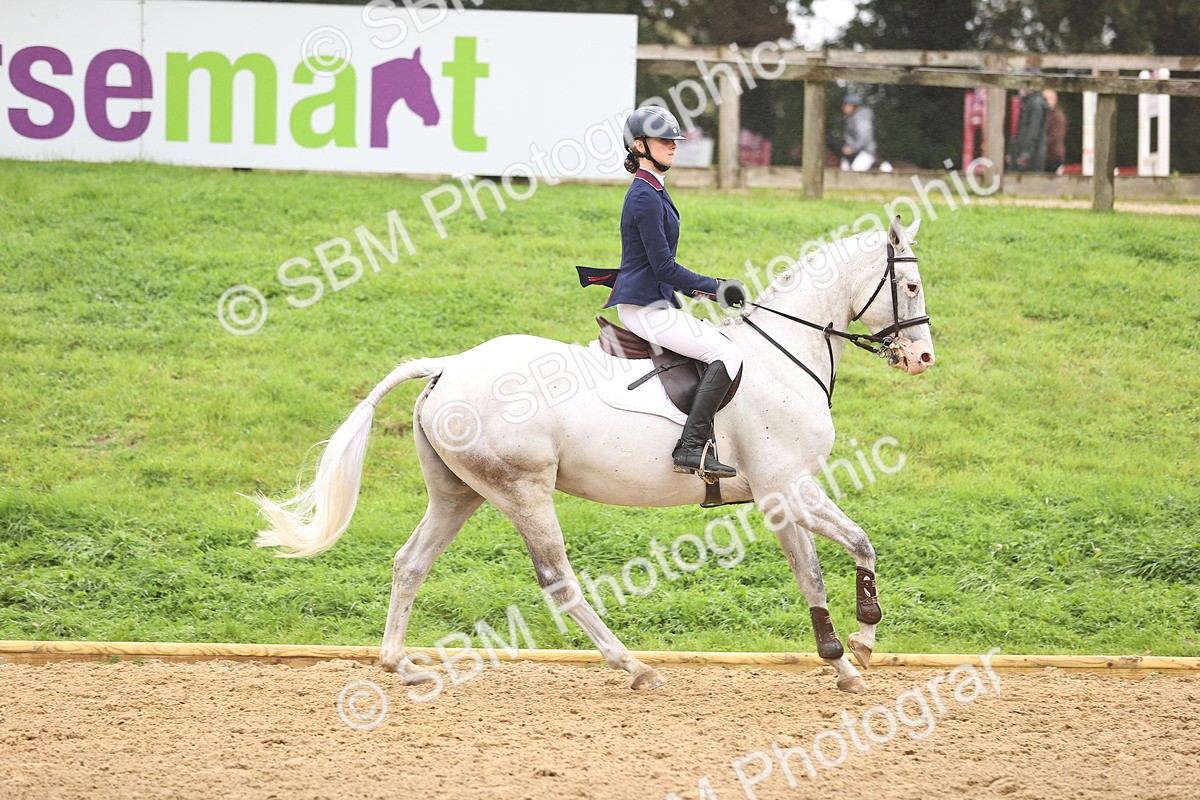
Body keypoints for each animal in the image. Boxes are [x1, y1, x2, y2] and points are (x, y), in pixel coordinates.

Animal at [252, 215, 935, 693]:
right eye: (910, 284)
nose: (923, 358)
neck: (781, 356)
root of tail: (448, 366)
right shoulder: (785, 488)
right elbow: (838, 556)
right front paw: (854, 651)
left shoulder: (782, 493)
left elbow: (833, 558)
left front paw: (850, 652)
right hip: (523, 490)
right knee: (558, 582)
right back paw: (633, 666)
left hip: (458, 493)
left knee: (410, 563)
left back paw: (400, 665)